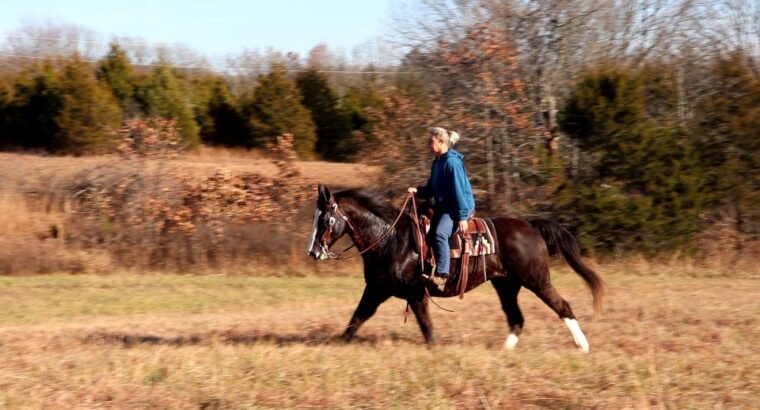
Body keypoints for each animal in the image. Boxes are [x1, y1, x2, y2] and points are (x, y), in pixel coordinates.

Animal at [306, 184, 604, 350]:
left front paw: (435, 350)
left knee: (562, 306)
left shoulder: (416, 293)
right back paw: (503, 351)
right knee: (516, 319)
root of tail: (531, 226)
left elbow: (426, 325)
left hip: (537, 280)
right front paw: (339, 344)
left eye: (326, 220)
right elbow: (357, 318)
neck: (390, 239)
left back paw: (583, 345)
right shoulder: (376, 289)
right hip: (506, 284)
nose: (314, 252)